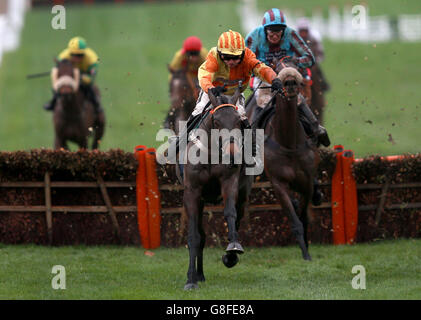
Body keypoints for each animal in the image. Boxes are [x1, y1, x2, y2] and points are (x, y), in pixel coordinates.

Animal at [182, 86, 251, 292]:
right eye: (217, 121)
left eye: (238, 121)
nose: (232, 155)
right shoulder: (192, 192)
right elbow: (194, 236)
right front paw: (190, 279)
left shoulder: (230, 181)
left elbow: (230, 213)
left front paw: (232, 251)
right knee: (201, 235)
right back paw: (198, 274)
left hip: (243, 193)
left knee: (238, 216)